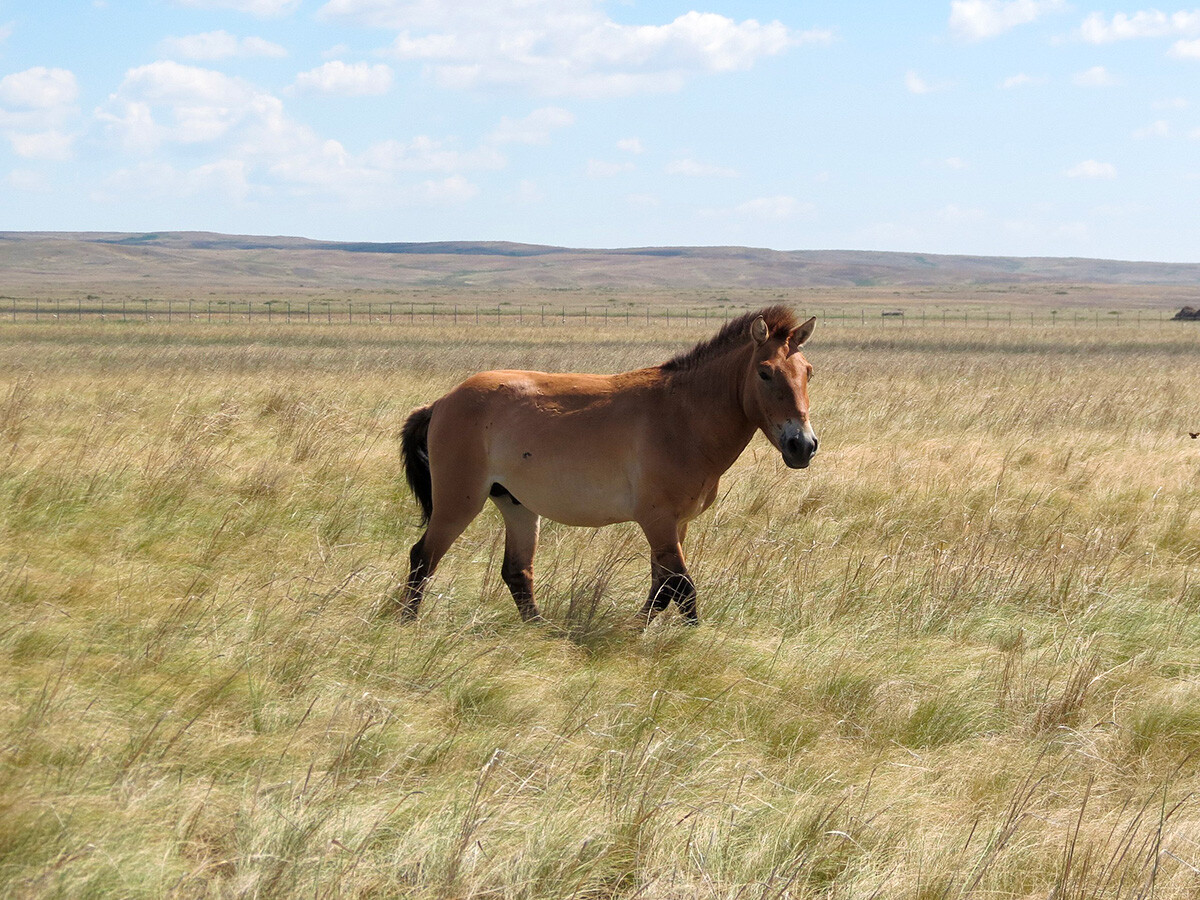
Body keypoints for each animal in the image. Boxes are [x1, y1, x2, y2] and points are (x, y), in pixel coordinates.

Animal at [393, 307, 816, 624]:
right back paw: (407, 623)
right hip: (458, 504)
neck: (681, 417)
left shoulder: (676, 525)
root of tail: (442, 402)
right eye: (765, 372)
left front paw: (637, 631)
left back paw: (541, 631)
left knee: (516, 572)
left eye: (808, 372)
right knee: (423, 557)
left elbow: (663, 588)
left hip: (517, 505)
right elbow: (682, 589)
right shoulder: (658, 521)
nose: (803, 446)